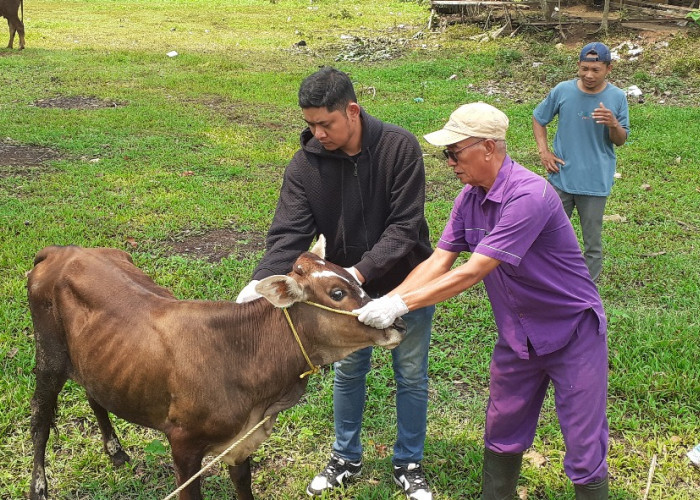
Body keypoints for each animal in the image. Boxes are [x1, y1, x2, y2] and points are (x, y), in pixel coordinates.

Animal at [26, 237, 404, 500]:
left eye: (355, 280)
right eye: (337, 292)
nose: (398, 322)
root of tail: (62, 250)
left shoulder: (241, 441)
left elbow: (244, 488)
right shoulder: (183, 444)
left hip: (95, 359)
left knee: (94, 395)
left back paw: (115, 451)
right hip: (49, 354)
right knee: (40, 421)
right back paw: (38, 487)